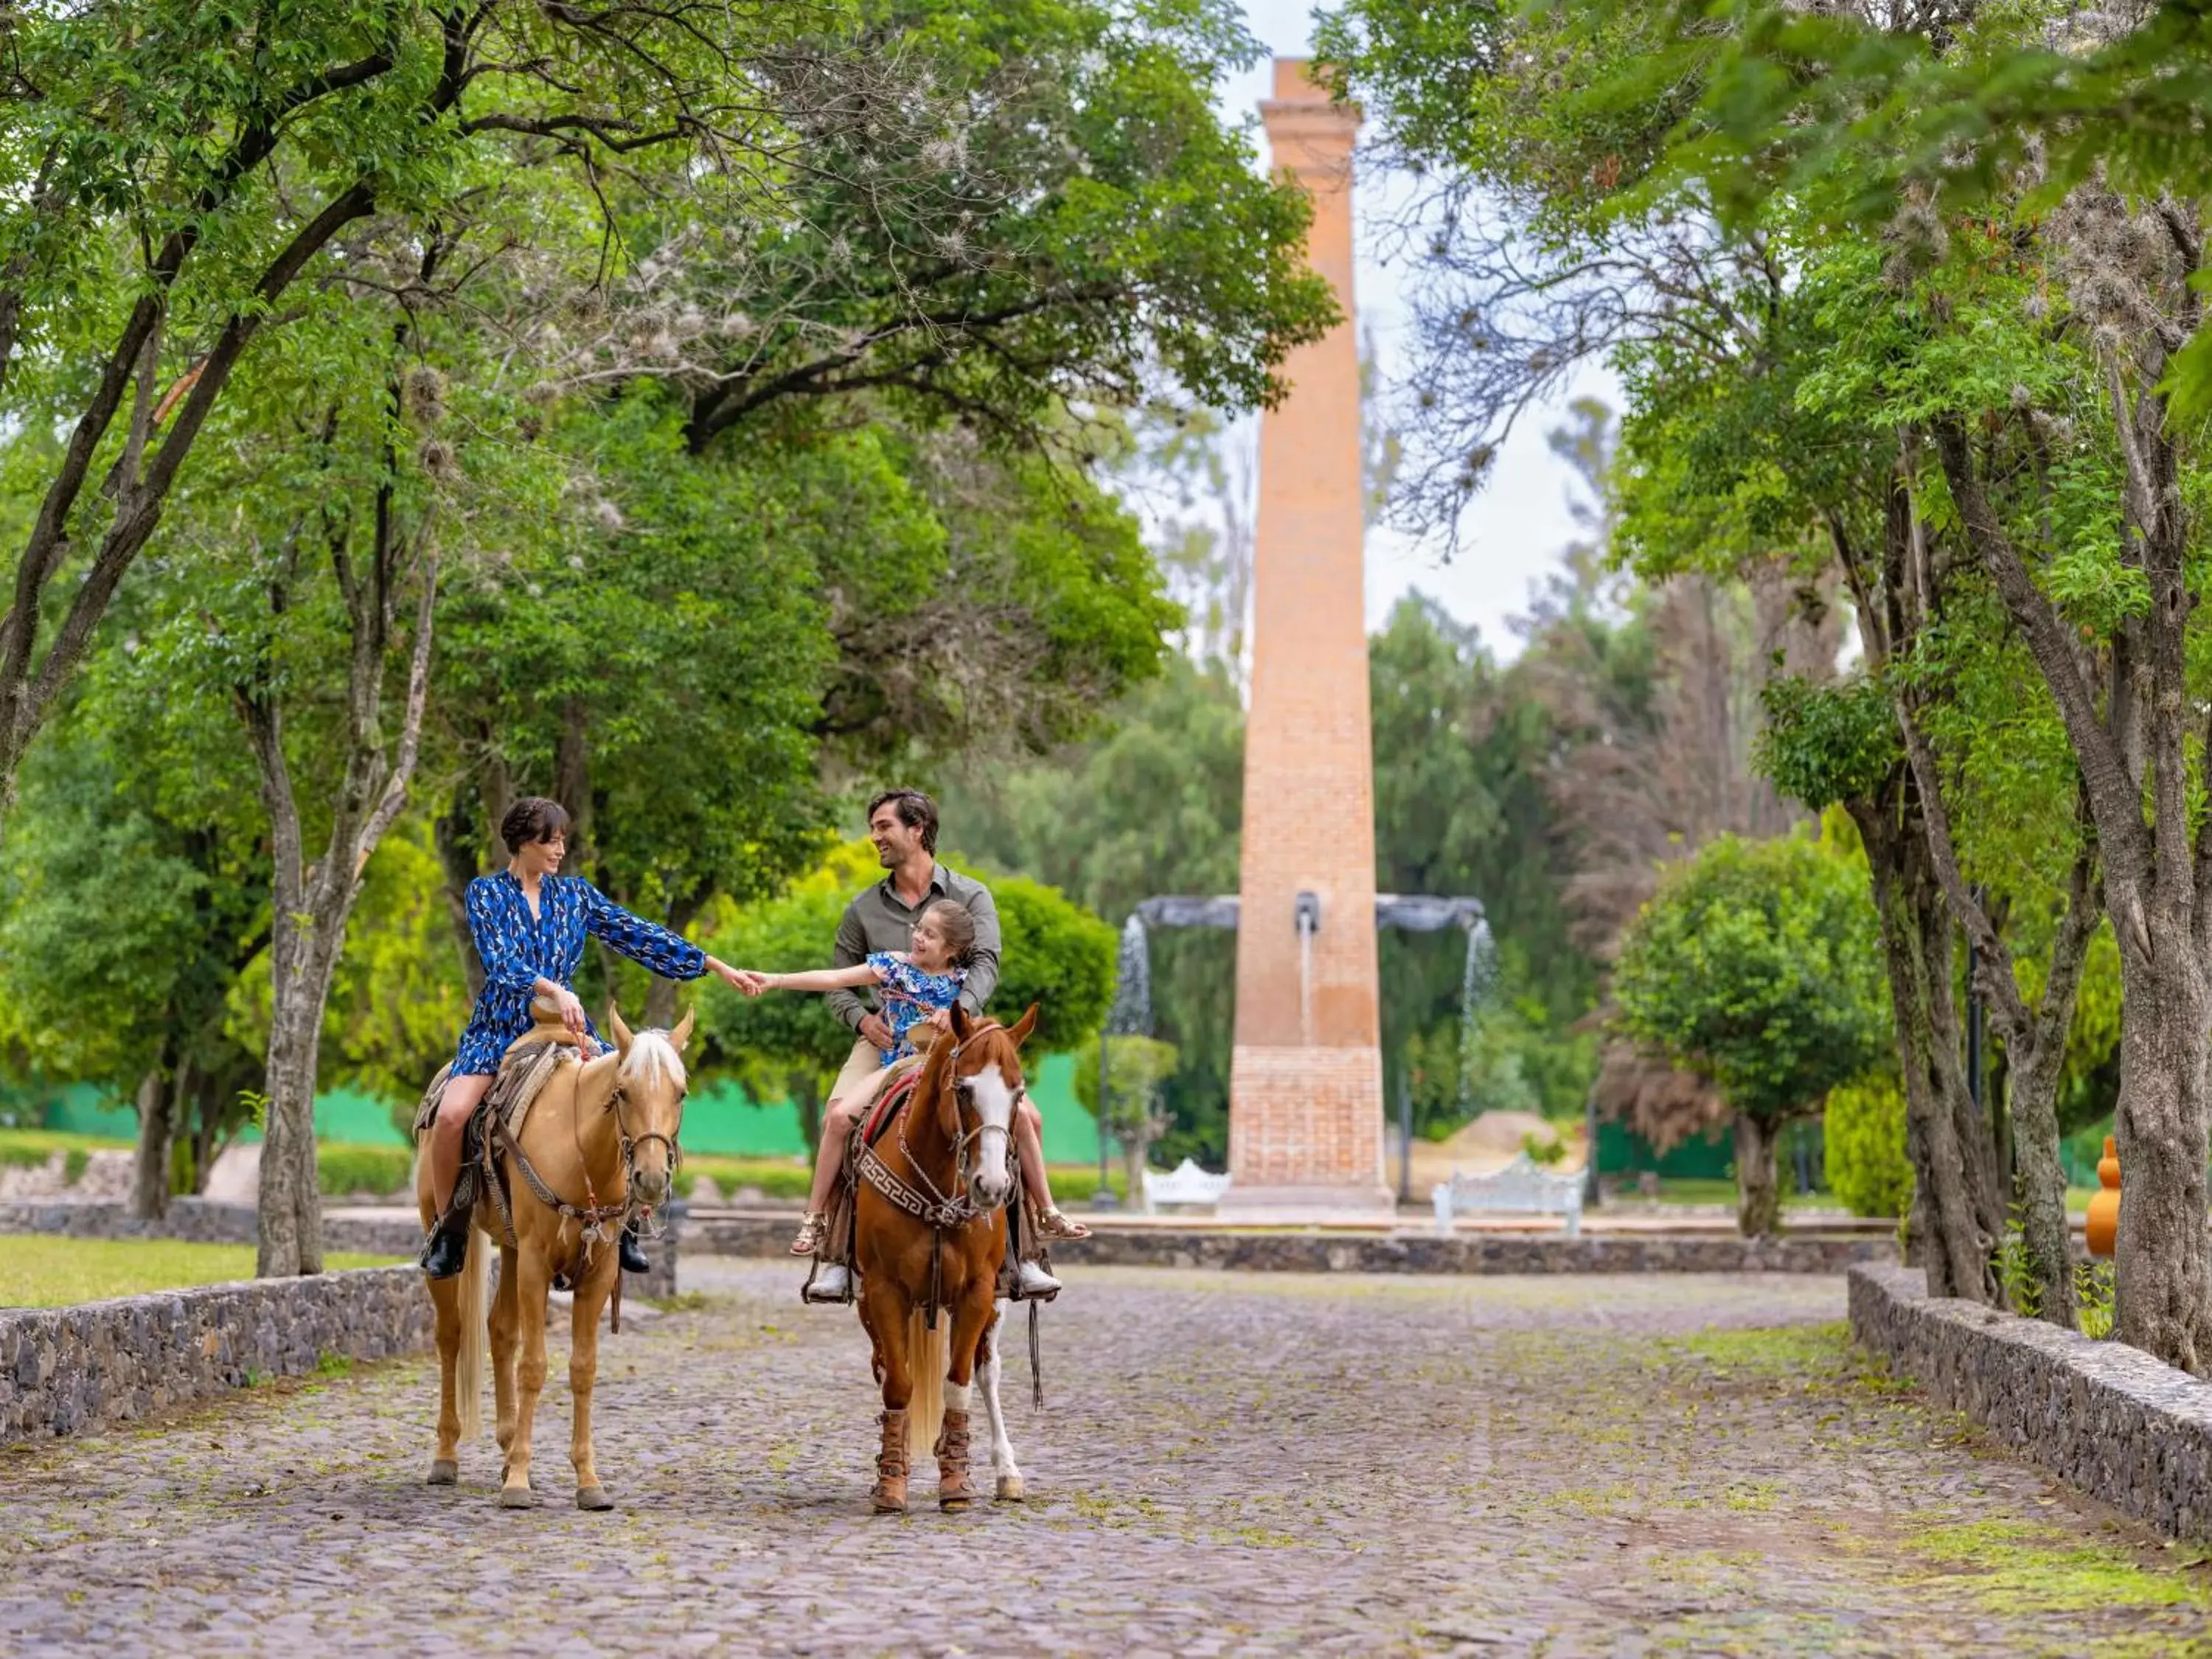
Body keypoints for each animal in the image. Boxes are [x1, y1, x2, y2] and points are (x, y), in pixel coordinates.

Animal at [414, 1009, 690, 1513]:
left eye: (680, 1092)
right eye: (623, 1091)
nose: (651, 1178)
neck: (580, 1150)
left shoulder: (597, 1275)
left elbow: (582, 1370)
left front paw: (587, 1481)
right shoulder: (536, 1267)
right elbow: (535, 1366)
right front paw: (520, 1483)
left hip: (511, 1249)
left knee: (500, 1331)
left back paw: (506, 1450)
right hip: (449, 1238)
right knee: (451, 1336)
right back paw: (446, 1457)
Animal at [854, 1000, 1044, 1522]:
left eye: (1018, 1093)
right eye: (964, 1089)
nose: (992, 1187)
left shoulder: (978, 1292)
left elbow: (958, 1383)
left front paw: (956, 1482)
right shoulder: (883, 1291)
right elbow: (898, 1385)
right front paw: (890, 1483)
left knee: (986, 1372)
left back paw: (1006, 1472)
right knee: (886, 1367)